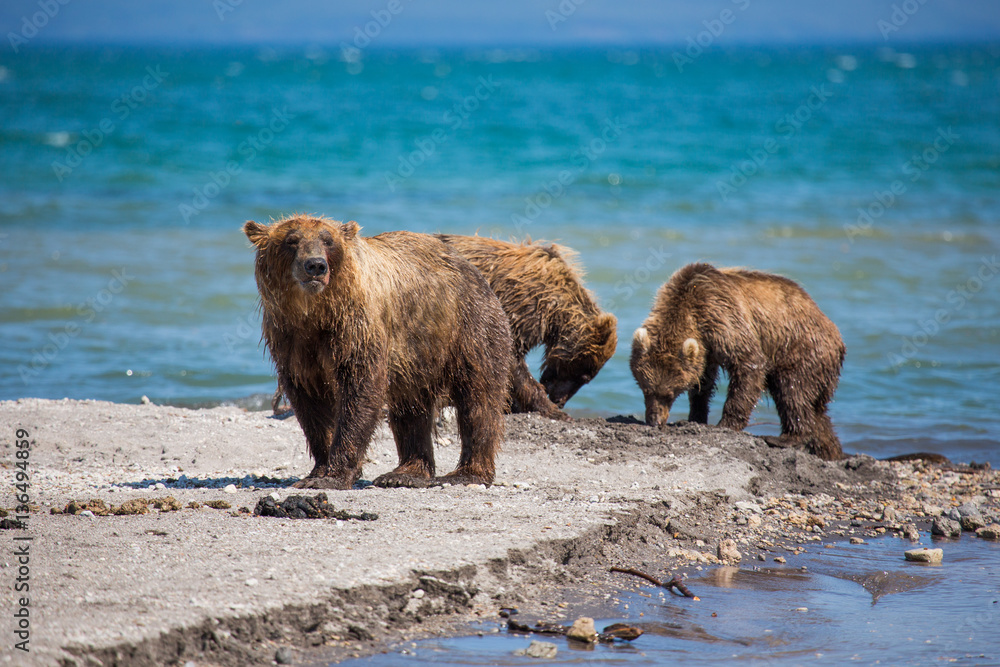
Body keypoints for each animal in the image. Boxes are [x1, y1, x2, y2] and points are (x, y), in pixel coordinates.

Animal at [243, 215, 514, 489]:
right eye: (291, 240)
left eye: (328, 241)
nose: (316, 265)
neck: (316, 313)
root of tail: (475, 272)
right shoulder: (290, 340)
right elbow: (310, 402)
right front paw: (317, 470)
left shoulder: (356, 327)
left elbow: (360, 389)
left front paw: (332, 475)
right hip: (416, 352)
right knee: (411, 408)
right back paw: (405, 473)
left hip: (468, 326)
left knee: (478, 398)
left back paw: (467, 473)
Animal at [629, 262, 845, 461]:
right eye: (646, 389)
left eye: (669, 393)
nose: (655, 421)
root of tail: (837, 336)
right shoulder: (706, 346)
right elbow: (703, 381)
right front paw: (696, 417)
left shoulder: (722, 316)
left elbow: (748, 363)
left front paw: (725, 424)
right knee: (817, 412)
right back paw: (830, 451)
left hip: (800, 348)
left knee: (793, 392)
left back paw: (785, 438)